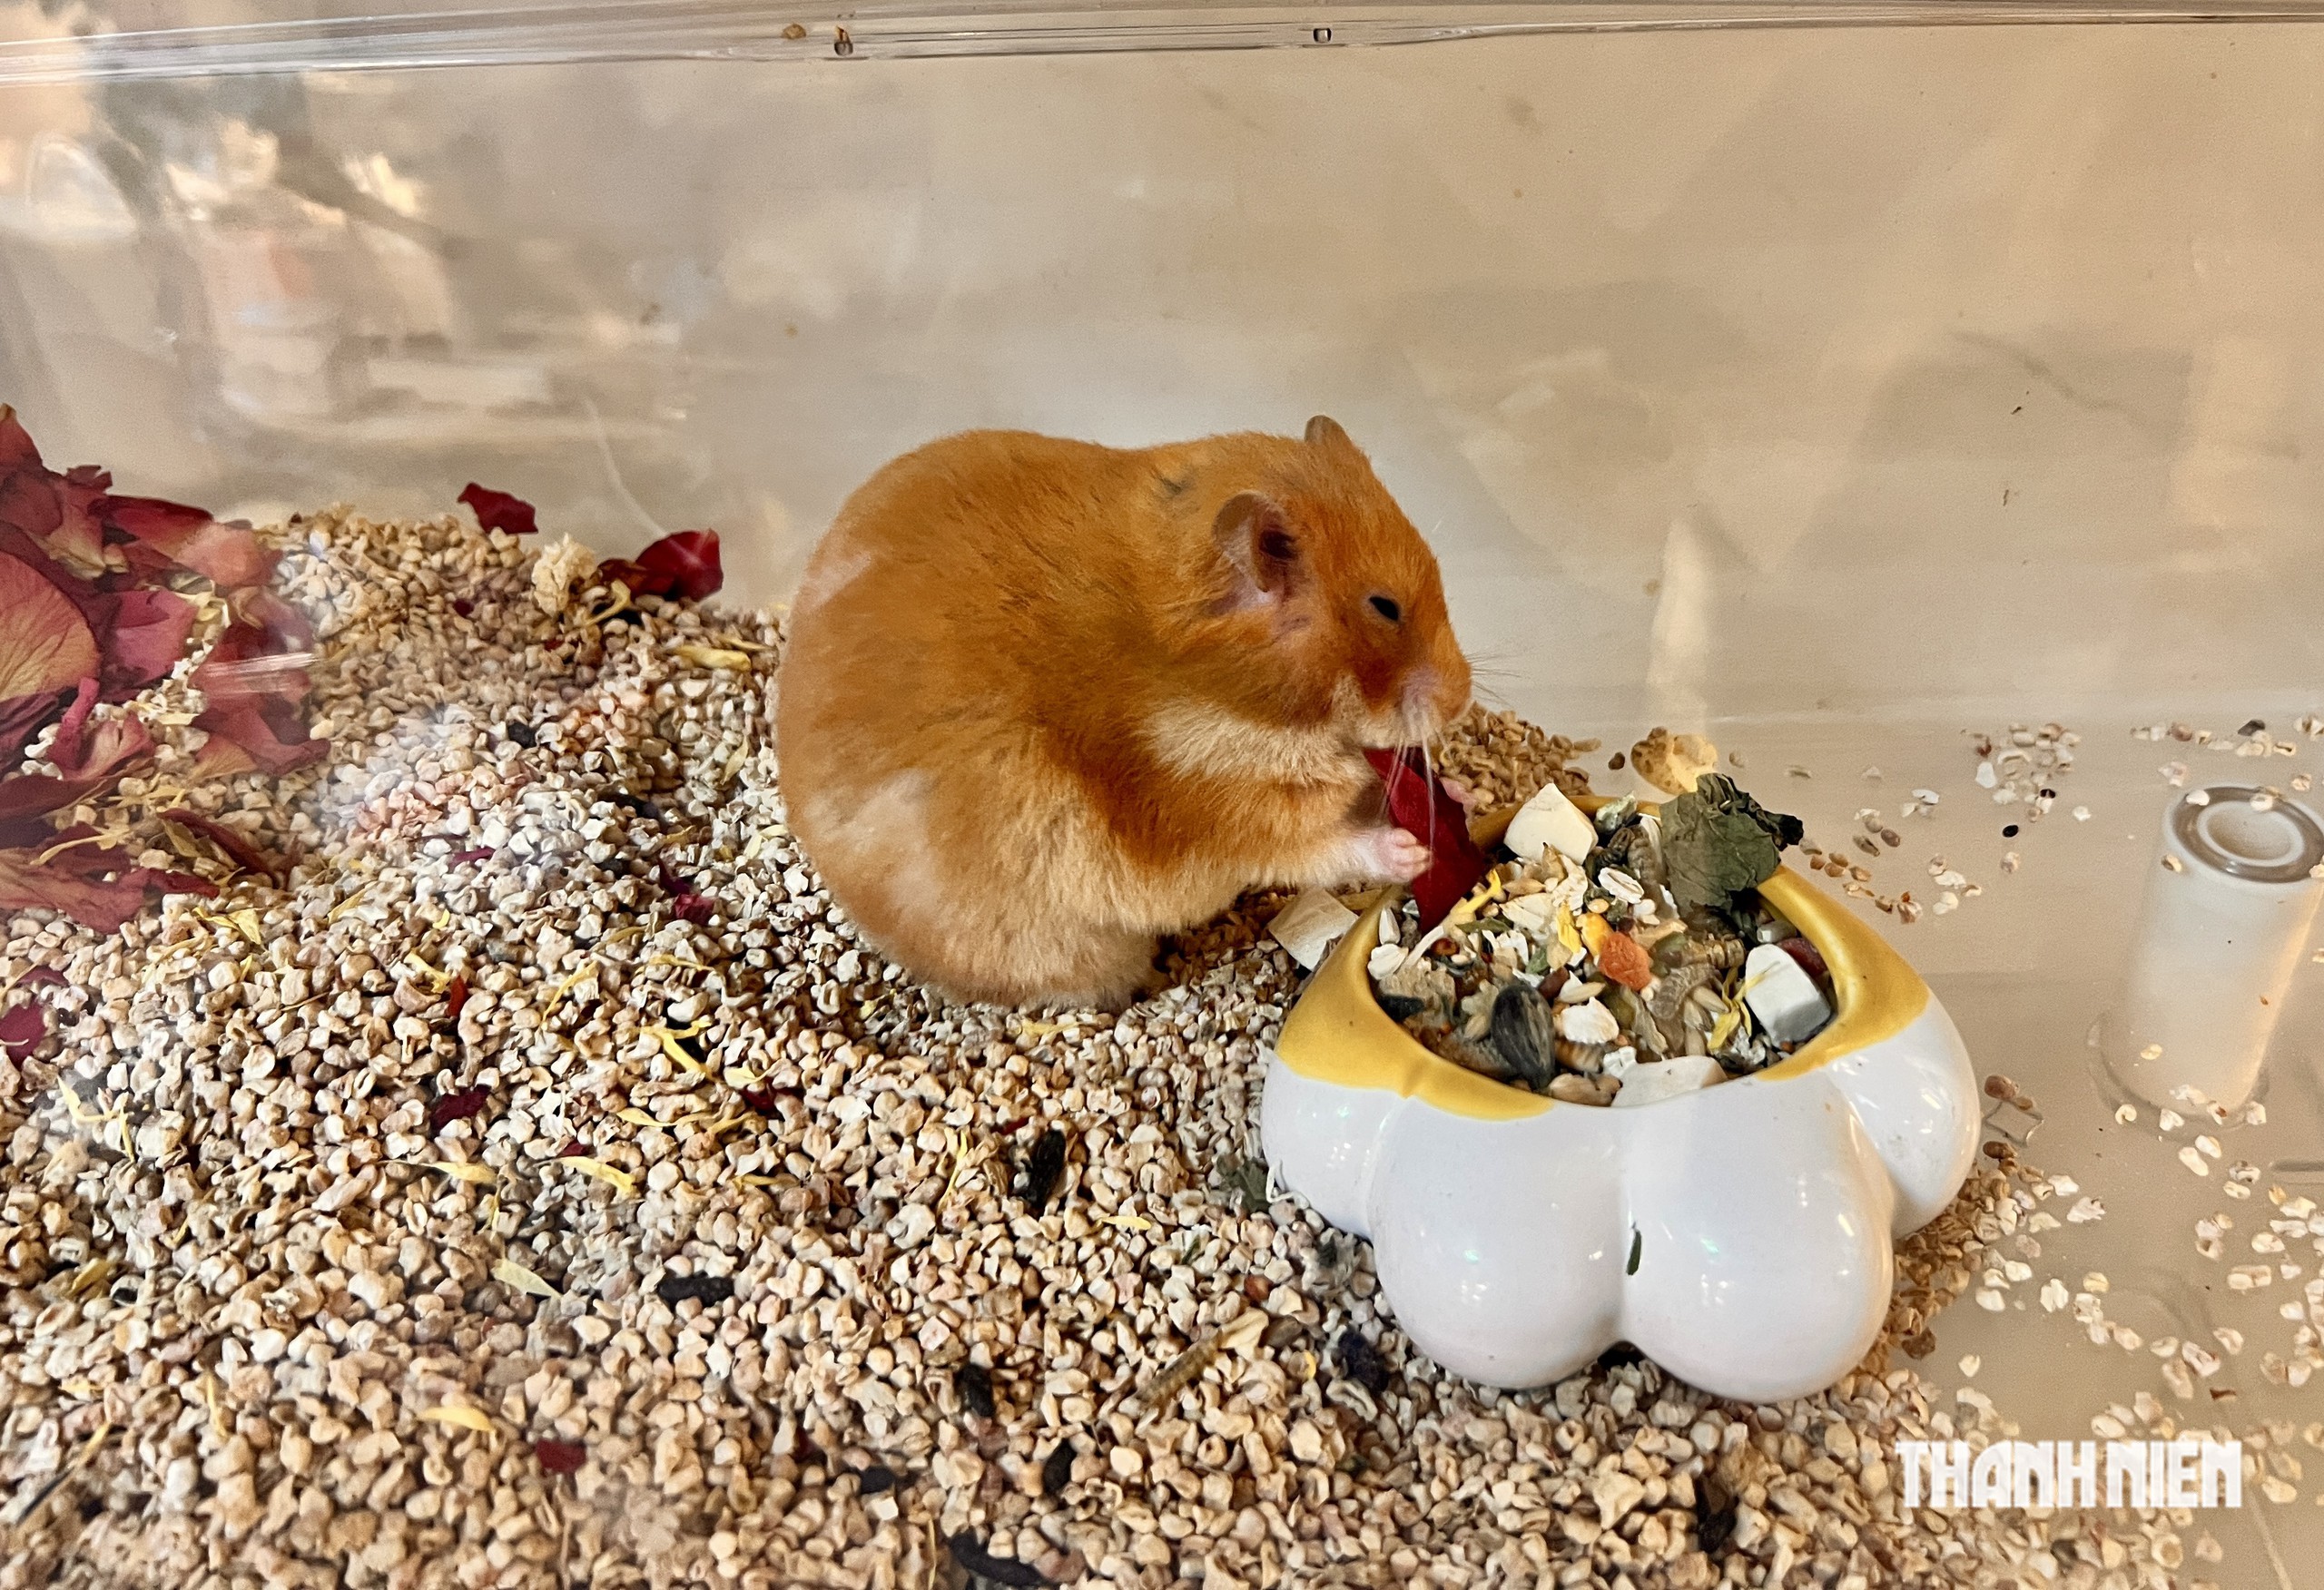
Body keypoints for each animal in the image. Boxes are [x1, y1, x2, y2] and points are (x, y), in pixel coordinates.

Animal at [775, 417, 1473, 1008]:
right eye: (1384, 607)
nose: (1463, 699)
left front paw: (1460, 793)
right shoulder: (1229, 824)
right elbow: (1329, 848)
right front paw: (1413, 854)